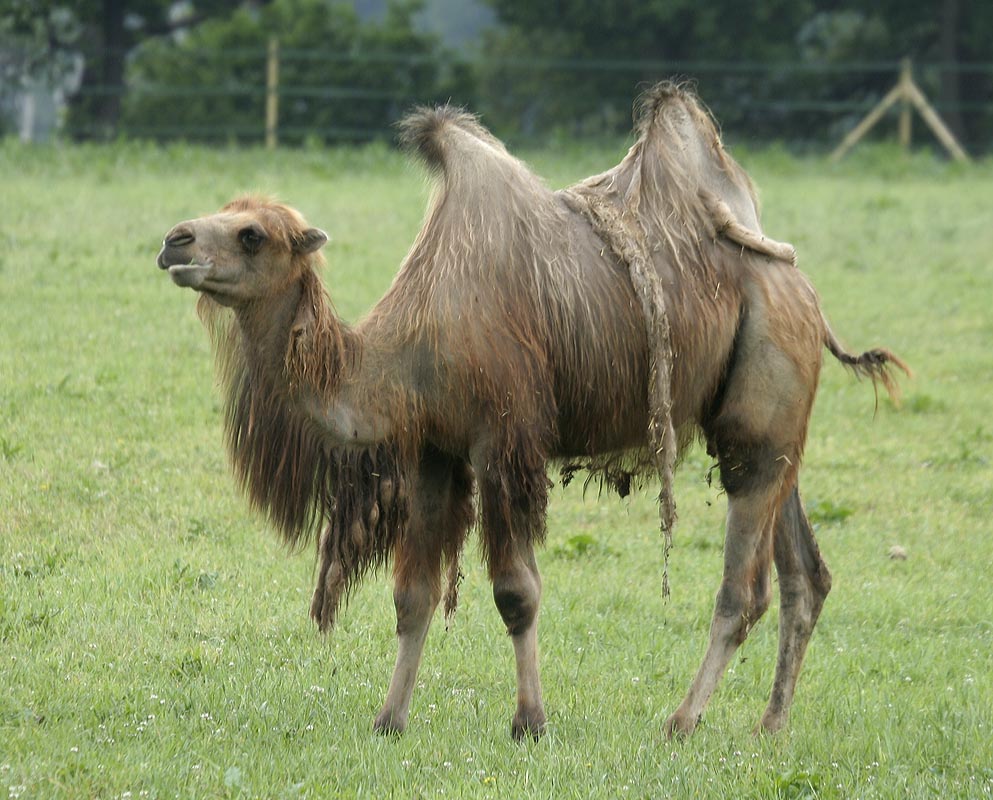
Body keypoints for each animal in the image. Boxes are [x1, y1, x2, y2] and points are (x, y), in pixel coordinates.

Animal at [156, 83, 907, 740]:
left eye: (252, 234)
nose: (174, 241)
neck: (406, 352)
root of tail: (804, 292)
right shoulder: (432, 450)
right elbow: (412, 596)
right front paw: (389, 719)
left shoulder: (504, 441)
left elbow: (516, 592)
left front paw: (530, 722)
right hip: (771, 434)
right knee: (803, 573)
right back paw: (770, 725)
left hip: (762, 398)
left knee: (742, 589)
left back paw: (682, 721)